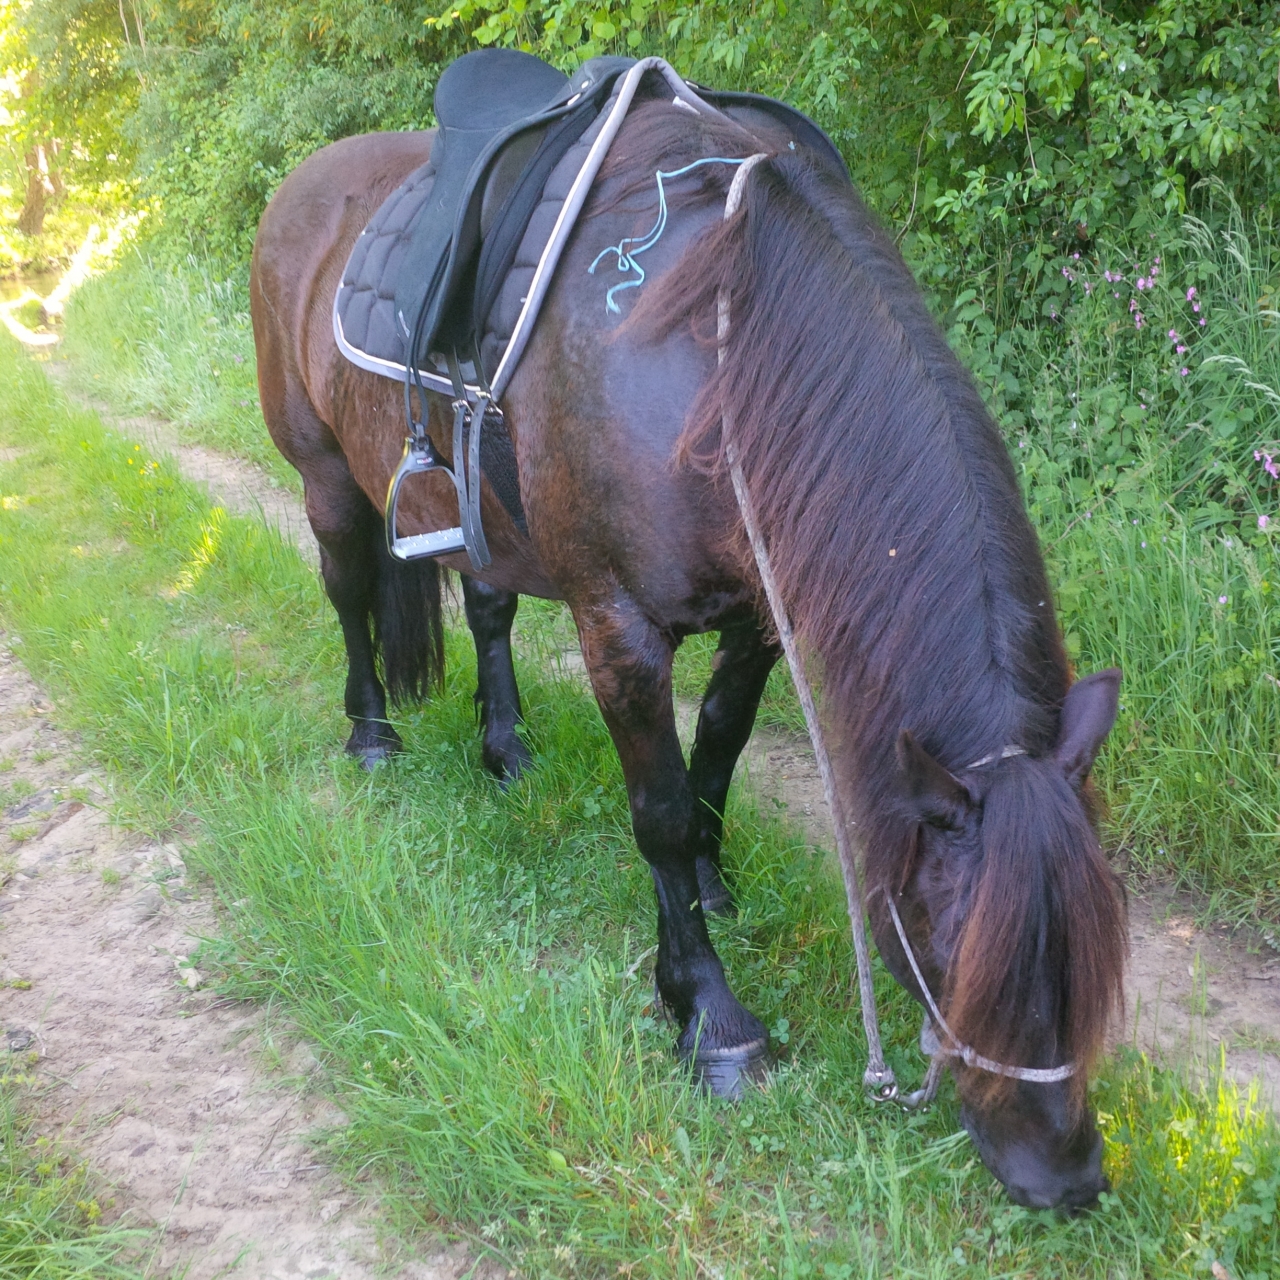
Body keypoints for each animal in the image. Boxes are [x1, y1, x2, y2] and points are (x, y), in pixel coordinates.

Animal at [250, 87, 1128, 1211]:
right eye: (949, 947)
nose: (1065, 1174)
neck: (712, 359)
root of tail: (308, 182)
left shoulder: (759, 612)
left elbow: (716, 743)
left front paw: (711, 882)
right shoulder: (617, 626)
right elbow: (659, 810)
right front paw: (708, 1013)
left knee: (487, 610)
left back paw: (505, 747)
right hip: (323, 471)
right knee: (351, 593)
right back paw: (369, 732)